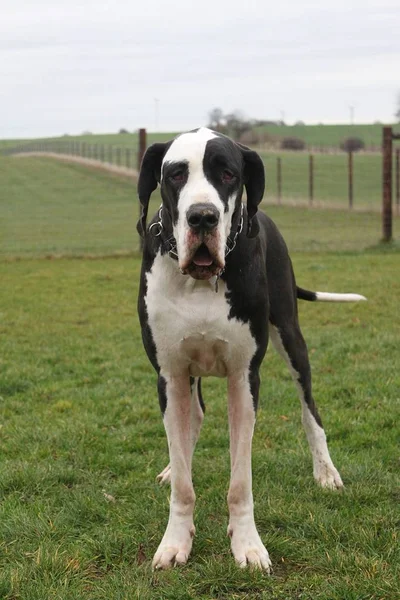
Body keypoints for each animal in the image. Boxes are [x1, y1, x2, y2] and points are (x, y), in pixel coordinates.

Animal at [137, 127, 366, 572]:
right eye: (175, 174)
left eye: (228, 173)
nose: (203, 217)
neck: (200, 280)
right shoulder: (169, 375)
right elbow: (184, 483)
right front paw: (175, 541)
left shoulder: (244, 378)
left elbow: (240, 481)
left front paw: (247, 544)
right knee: (192, 421)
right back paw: (173, 465)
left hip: (292, 339)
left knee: (310, 411)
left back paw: (326, 472)